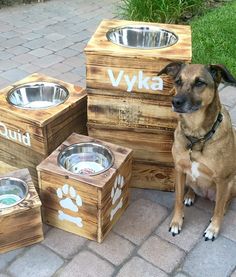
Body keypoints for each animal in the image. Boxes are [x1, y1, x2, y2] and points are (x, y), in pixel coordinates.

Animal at [158, 62, 236, 239]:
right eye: (178, 81)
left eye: (200, 82)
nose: (175, 102)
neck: (196, 136)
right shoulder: (179, 170)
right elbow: (178, 200)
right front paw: (176, 222)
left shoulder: (223, 179)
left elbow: (218, 208)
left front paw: (213, 229)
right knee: (192, 188)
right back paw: (190, 196)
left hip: (232, 183)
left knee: (224, 203)